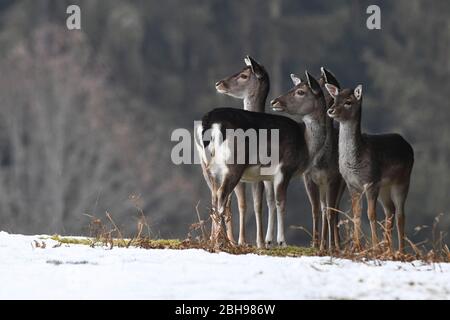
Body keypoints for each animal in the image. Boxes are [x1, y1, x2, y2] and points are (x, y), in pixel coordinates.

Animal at [213, 57, 276, 248]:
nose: (219, 83)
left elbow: (258, 205)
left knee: (271, 202)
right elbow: (242, 204)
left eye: (244, 75)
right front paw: (241, 240)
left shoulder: (260, 174)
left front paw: (260, 242)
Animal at [270, 72, 344, 252]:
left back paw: (336, 244)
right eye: (294, 87)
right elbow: (316, 210)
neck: (322, 162)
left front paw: (332, 246)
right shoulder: (308, 177)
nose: (275, 101)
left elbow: (330, 211)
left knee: (334, 209)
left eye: (300, 92)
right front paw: (316, 244)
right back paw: (324, 243)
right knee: (324, 208)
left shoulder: (335, 178)